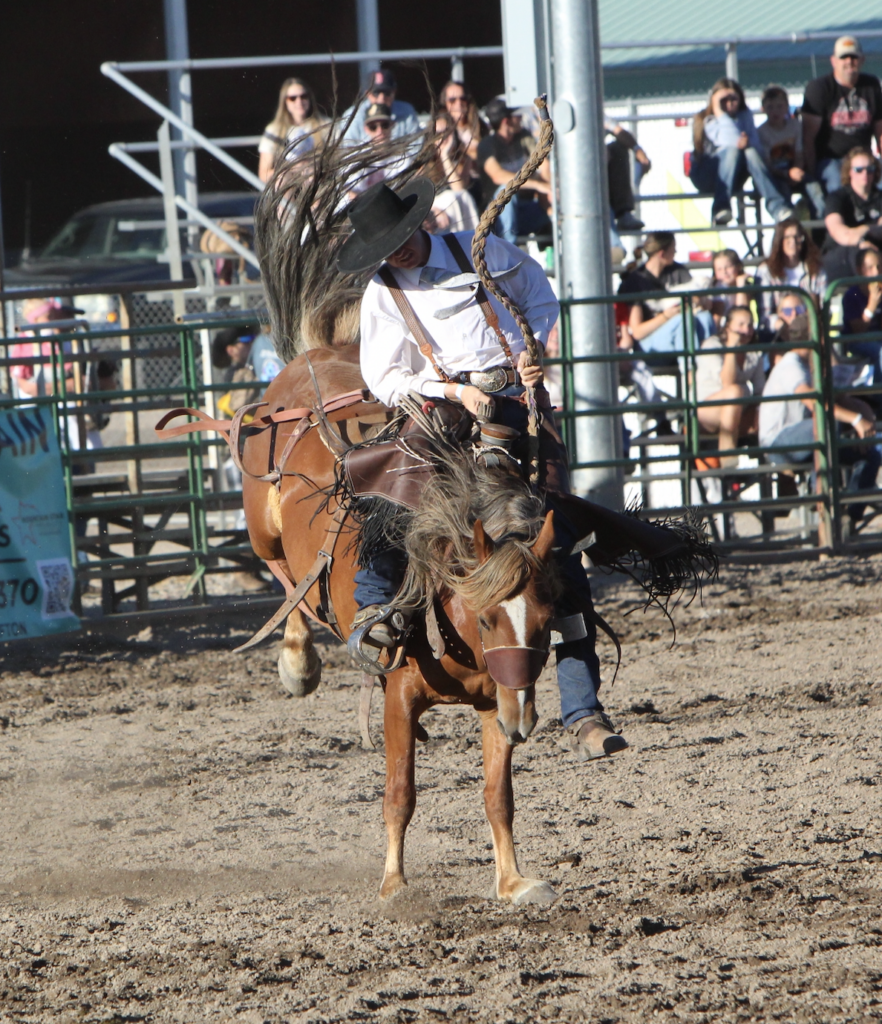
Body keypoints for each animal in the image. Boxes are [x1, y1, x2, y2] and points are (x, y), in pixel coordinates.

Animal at [240, 346, 563, 905]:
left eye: (544, 622)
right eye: (486, 618)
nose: (523, 720)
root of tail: (316, 355)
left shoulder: (496, 700)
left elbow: (497, 796)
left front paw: (513, 881)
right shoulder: (398, 697)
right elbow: (400, 793)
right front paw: (394, 883)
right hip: (263, 528)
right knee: (285, 577)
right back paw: (297, 662)